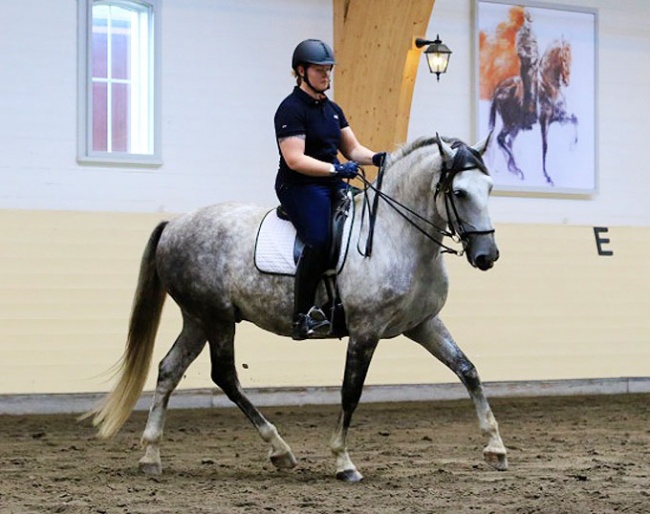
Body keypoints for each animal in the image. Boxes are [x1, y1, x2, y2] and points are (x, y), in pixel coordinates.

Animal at [85, 132, 506, 480]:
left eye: (488, 187)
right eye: (459, 193)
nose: (487, 255)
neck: (396, 236)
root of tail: (173, 225)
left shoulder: (424, 324)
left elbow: (468, 370)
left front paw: (495, 448)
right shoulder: (366, 331)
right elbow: (350, 392)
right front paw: (343, 461)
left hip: (197, 319)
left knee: (169, 370)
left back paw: (151, 456)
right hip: (217, 318)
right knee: (225, 377)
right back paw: (280, 450)